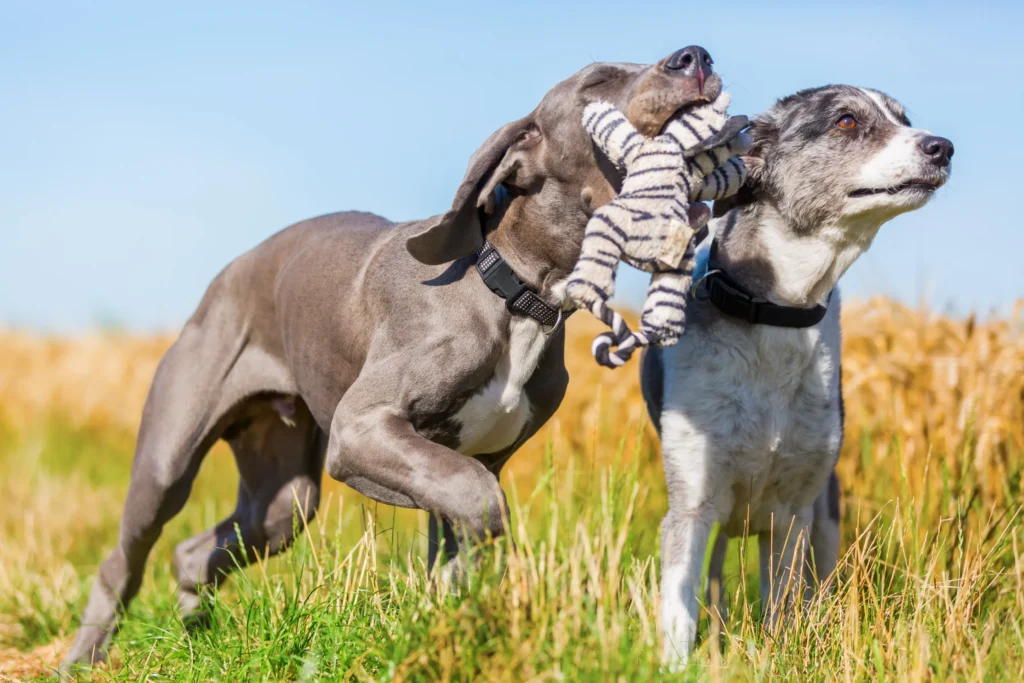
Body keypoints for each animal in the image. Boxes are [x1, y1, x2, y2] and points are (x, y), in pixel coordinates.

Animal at [638, 85, 950, 667]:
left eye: (905, 118)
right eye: (846, 121)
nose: (943, 147)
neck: (778, 314)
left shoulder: (792, 514)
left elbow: (783, 607)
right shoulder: (691, 505)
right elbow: (679, 608)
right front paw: (675, 666)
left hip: (824, 513)